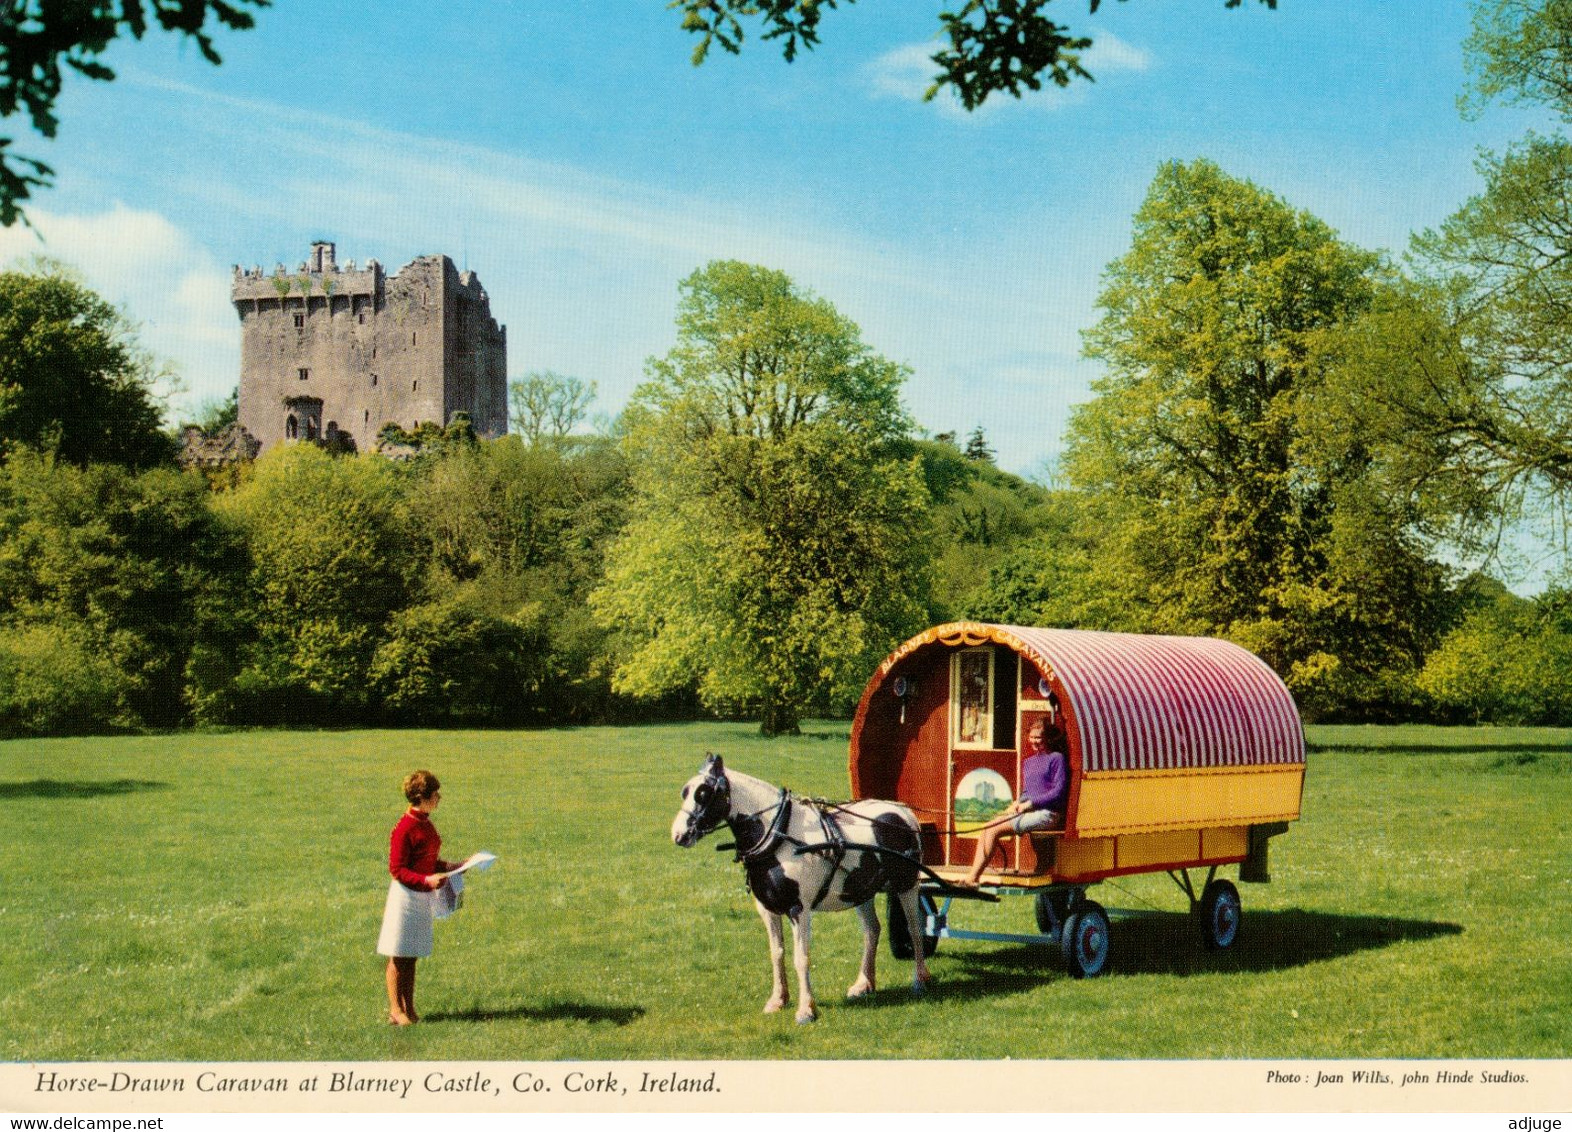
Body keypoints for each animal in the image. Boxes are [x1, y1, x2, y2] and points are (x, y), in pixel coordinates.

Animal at [666, 751, 930, 1025]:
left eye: (704, 793)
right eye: (685, 792)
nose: (679, 835)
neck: (780, 836)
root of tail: (903, 812)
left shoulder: (798, 910)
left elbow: (801, 958)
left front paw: (806, 1010)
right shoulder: (767, 910)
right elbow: (777, 953)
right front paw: (778, 1000)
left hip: (907, 885)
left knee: (914, 929)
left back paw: (920, 979)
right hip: (860, 891)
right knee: (872, 931)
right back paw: (864, 984)